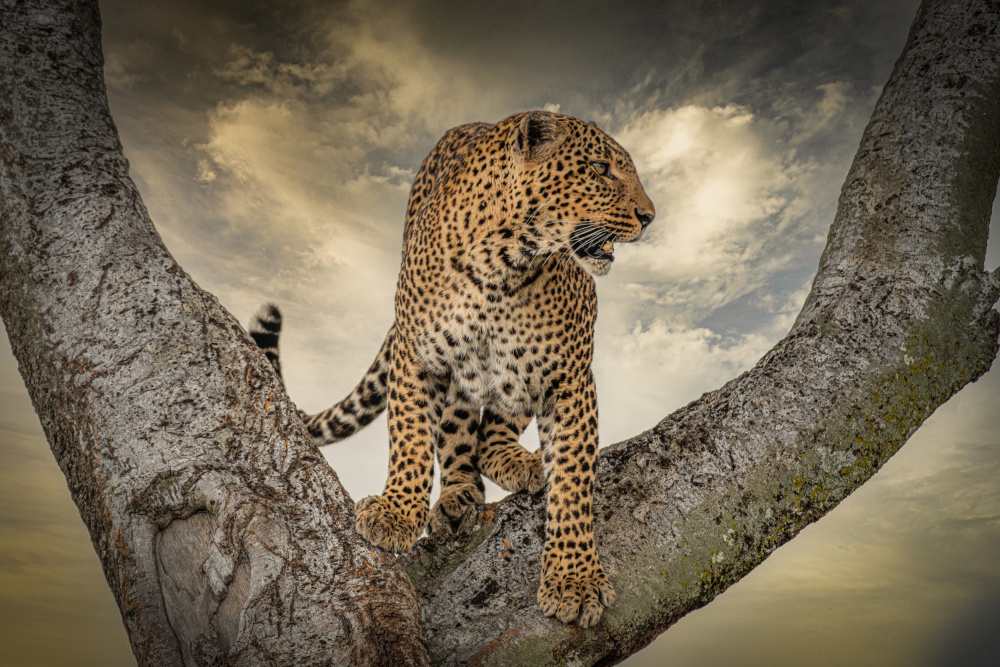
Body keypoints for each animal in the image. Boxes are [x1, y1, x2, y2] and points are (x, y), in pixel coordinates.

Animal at [252, 111, 656, 632]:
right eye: (600, 168)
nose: (650, 216)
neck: (504, 266)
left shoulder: (569, 379)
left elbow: (572, 482)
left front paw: (574, 579)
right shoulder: (417, 358)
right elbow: (411, 441)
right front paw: (397, 513)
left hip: (517, 372)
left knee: (495, 430)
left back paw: (518, 461)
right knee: (459, 432)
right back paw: (459, 495)